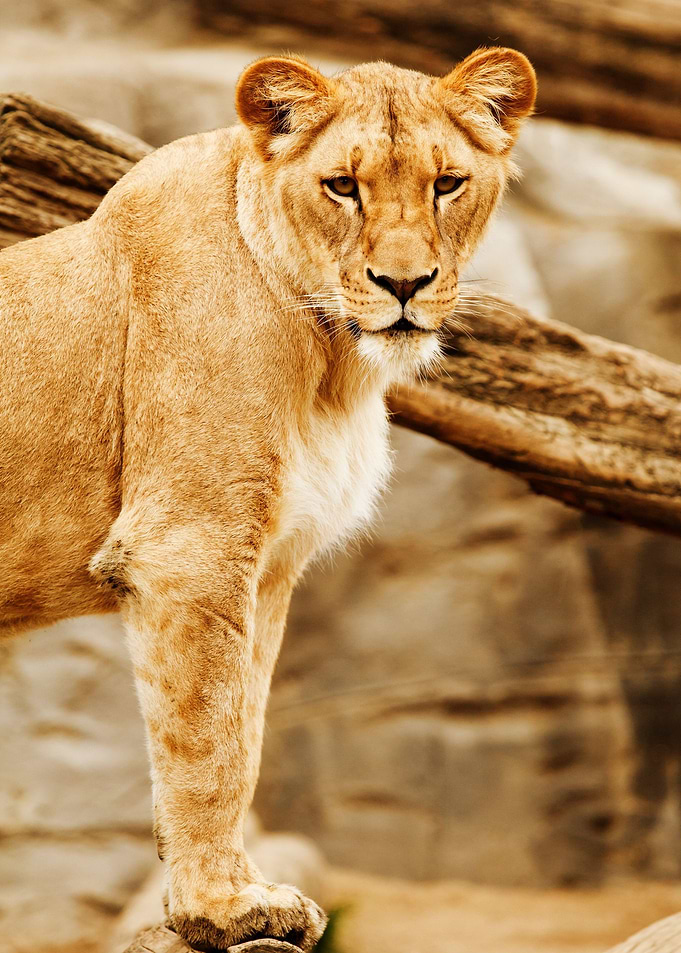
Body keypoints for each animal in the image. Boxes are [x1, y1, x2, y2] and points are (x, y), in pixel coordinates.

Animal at [0, 48, 536, 949]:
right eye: (342, 186)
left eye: (447, 183)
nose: (403, 284)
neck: (332, 361)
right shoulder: (190, 547)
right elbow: (208, 739)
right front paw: (223, 906)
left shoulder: (270, 565)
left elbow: (243, 729)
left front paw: (214, 894)